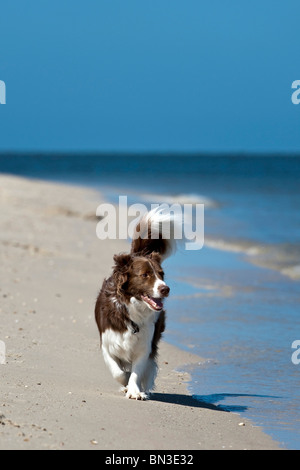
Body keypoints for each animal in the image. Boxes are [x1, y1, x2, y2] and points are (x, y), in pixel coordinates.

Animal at [94, 207, 178, 398]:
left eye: (161, 274)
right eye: (145, 275)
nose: (165, 289)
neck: (133, 310)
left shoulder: (144, 347)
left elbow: (137, 371)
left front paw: (135, 390)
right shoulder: (107, 344)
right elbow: (117, 371)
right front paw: (125, 382)